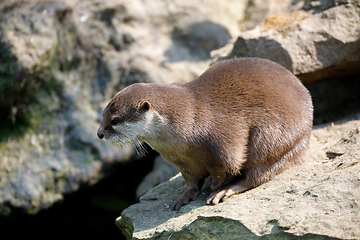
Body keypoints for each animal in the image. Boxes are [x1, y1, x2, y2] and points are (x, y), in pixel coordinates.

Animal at [95, 57, 312, 210]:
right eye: (103, 115)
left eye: (115, 121)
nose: (99, 134)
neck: (189, 119)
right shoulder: (181, 160)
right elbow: (191, 179)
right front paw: (186, 195)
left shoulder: (223, 140)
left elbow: (227, 164)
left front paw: (215, 186)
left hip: (272, 139)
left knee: (257, 174)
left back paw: (226, 190)